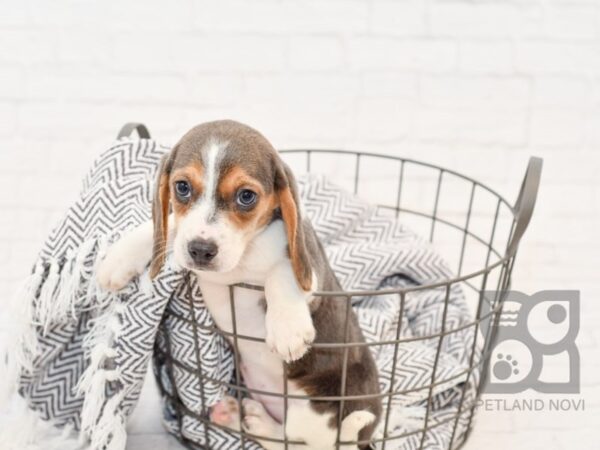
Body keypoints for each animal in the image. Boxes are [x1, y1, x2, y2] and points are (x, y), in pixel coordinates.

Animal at [96, 120, 382, 450]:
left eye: (246, 196)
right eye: (182, 187)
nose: (201, 250)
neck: (245, 252)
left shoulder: (311, 270)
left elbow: (283, 270)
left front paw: (288, 329)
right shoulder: (182, 236)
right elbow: (169, 229)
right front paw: (119, 258)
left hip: (317, 409)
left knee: (290, 442)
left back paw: (256, 421)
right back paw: (234, 416)